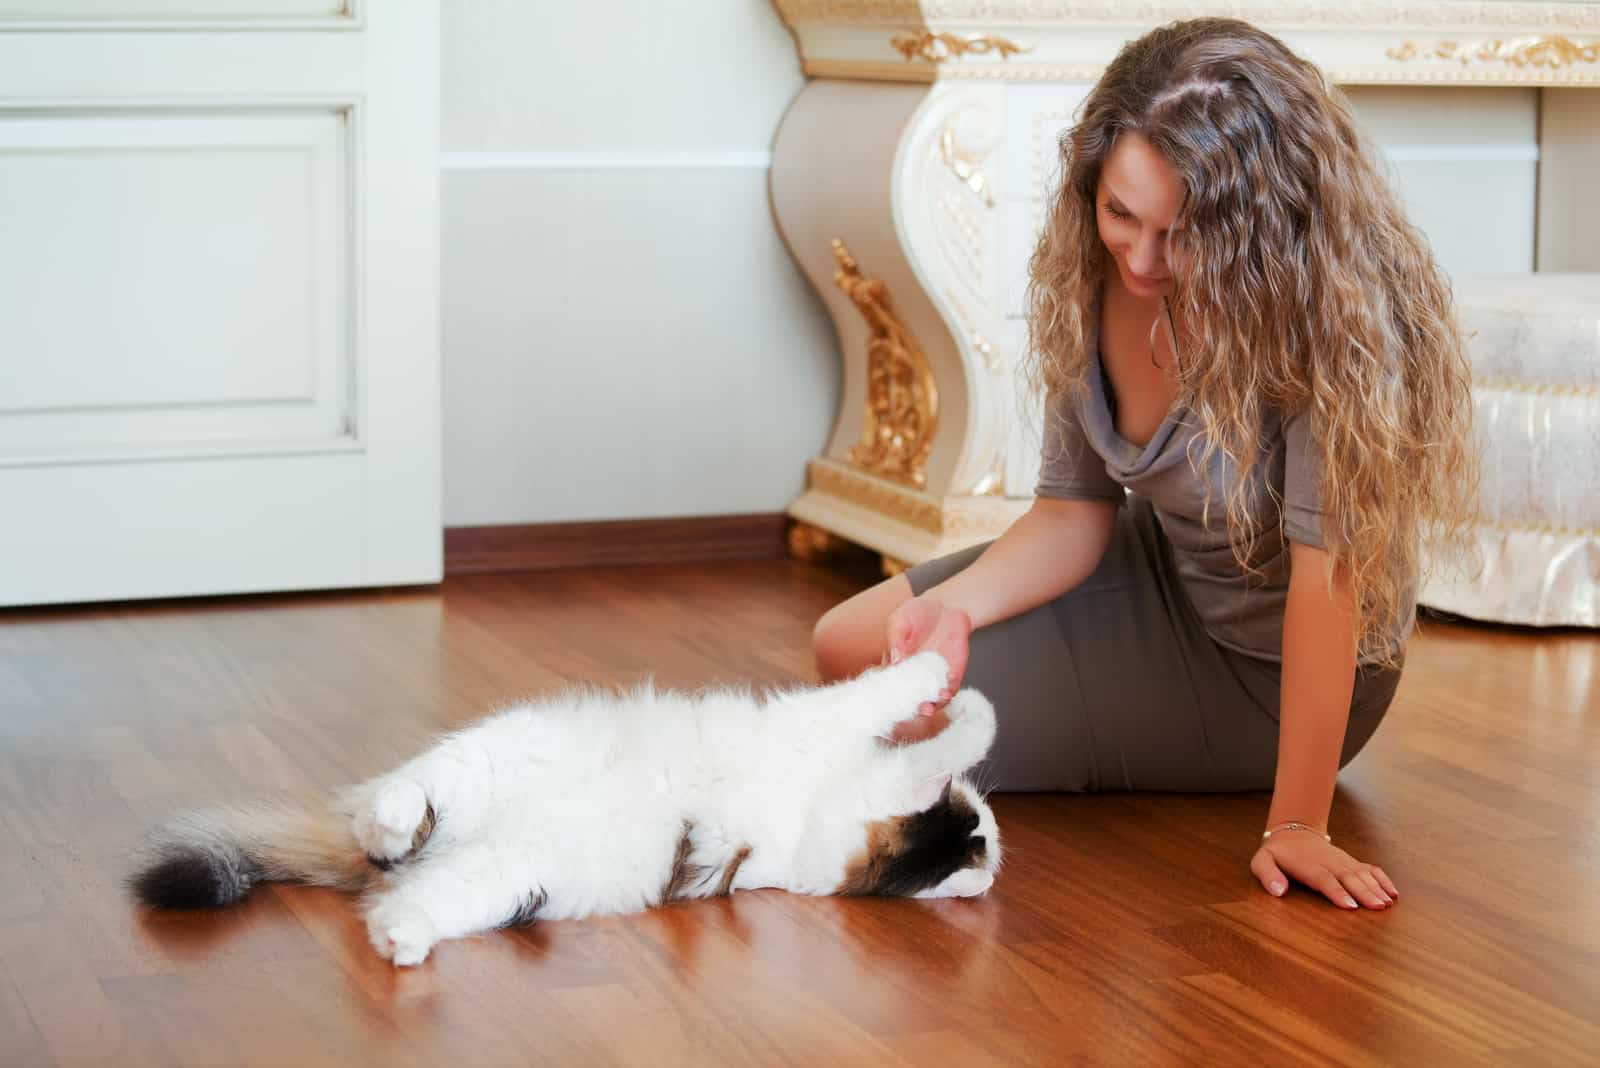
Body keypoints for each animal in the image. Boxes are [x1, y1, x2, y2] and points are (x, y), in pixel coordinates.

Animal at [131, 652, 998, 965]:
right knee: (395, 801)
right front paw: (948, 683)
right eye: (983, 835)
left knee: (405, 897)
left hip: (503, 880)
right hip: (482, 762)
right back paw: (390, 821)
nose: (988, 865)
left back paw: (401, 941)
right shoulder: (829, 736)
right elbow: (910, 708)